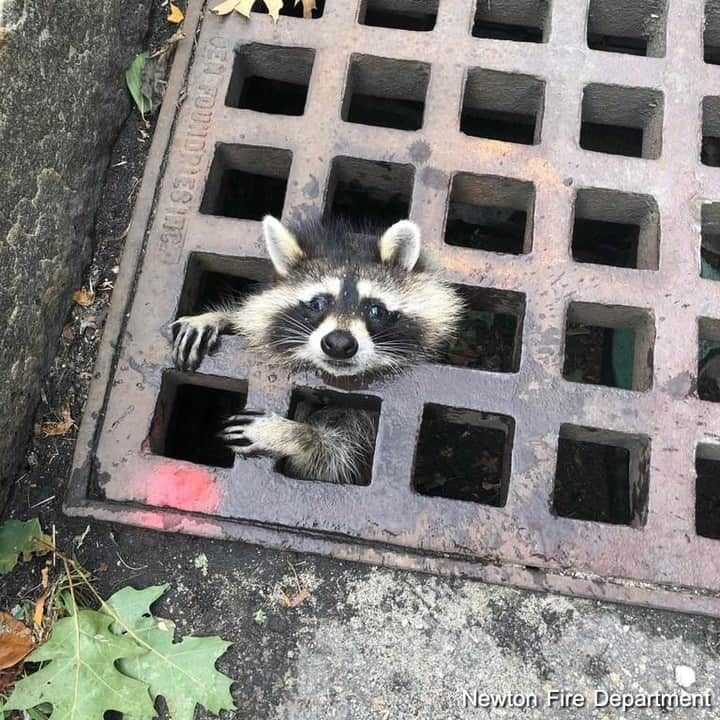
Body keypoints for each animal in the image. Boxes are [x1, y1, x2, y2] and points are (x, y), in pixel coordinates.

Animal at [171, 214, 464, 484]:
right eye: (318, 304)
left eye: (375, 310)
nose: (339, 344)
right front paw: (219, 317)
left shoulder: (363, 428)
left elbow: (333, 459)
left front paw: (293, 434)